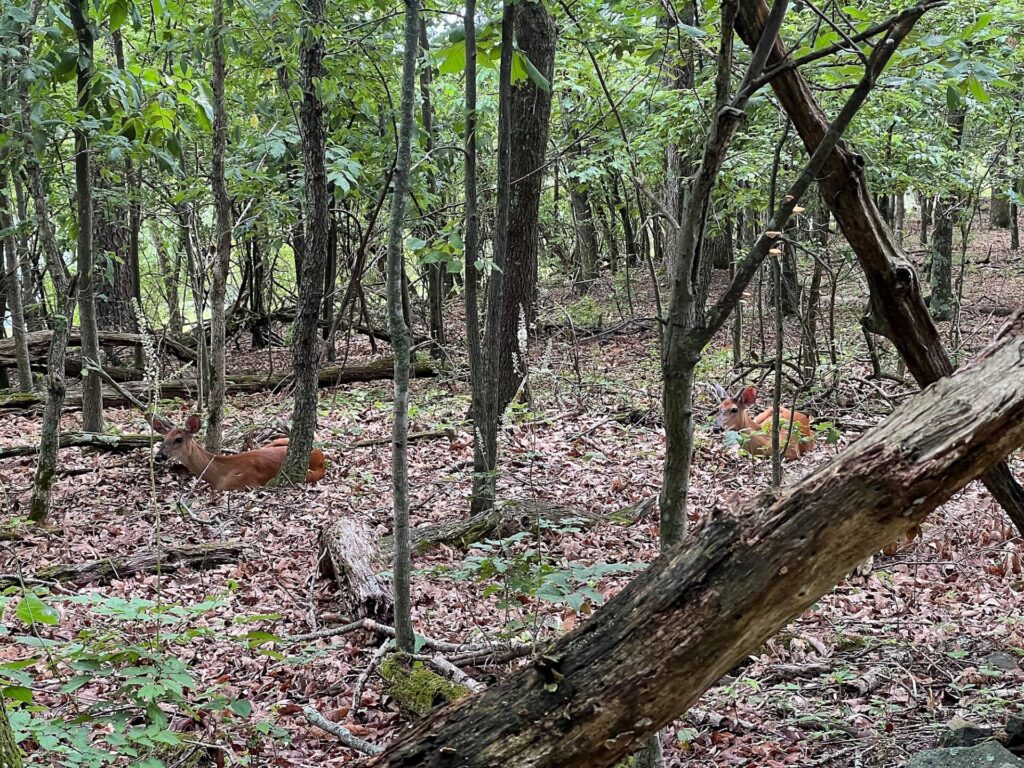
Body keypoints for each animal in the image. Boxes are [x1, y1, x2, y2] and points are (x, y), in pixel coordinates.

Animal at [153, 414, 326, 490]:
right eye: (163, 439)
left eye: (178, 439)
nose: (159, 456)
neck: (218, 474)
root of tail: (319, 454)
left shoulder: (244, 483)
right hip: (277, 442)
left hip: (309, 474)